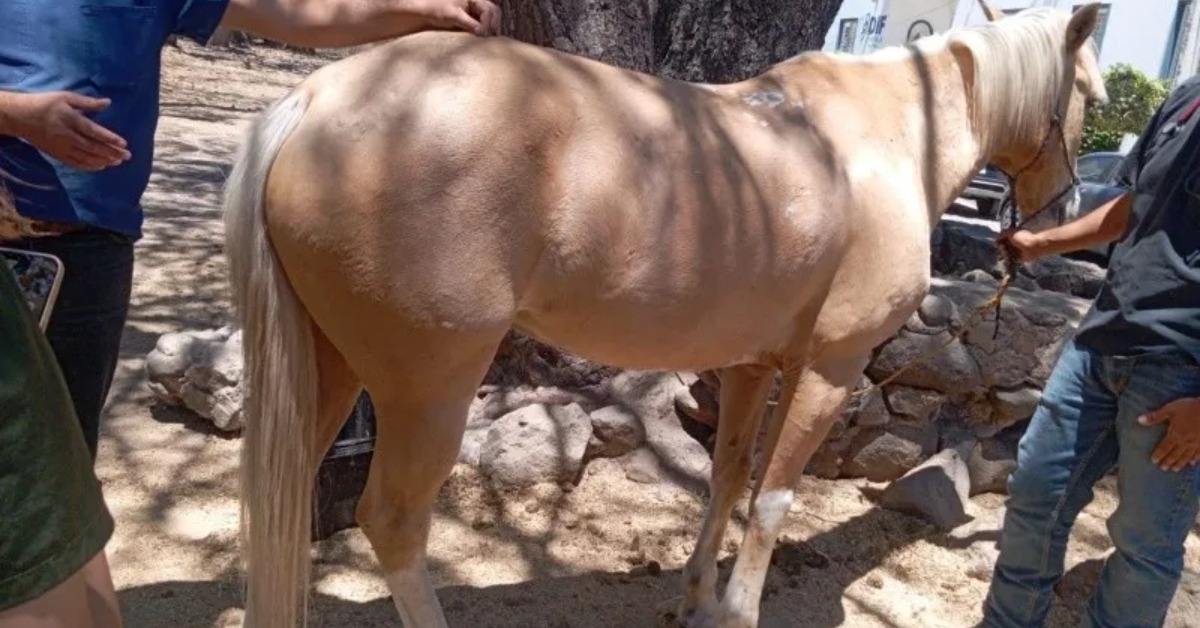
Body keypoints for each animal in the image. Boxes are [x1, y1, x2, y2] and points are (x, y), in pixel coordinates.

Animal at [222, 1, 1106, 625]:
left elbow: (727, 478)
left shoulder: (749, 366)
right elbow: (773, 497)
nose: (1062, 210)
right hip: (430, 387)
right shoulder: (832, 367)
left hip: (329, 366)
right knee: (394, 523)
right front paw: (738, 612)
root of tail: (314, 98)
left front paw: (696, 598)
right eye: (1091, 96)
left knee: (283, 496)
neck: (887, 138)